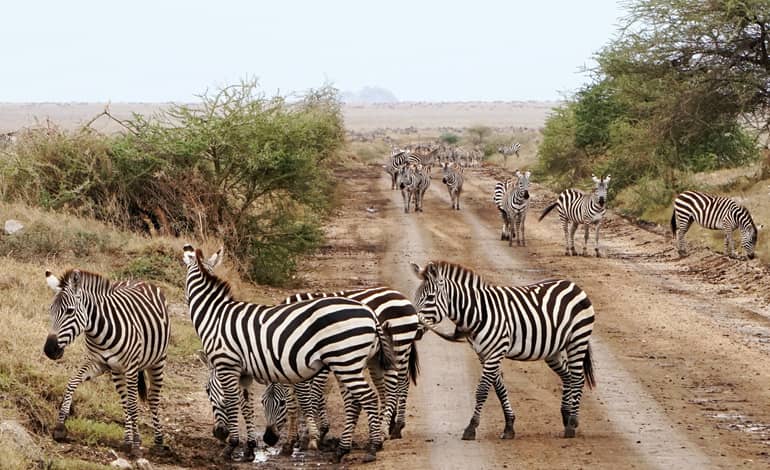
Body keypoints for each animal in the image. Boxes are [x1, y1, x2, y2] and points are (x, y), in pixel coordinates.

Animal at [42, 270, 169, 458]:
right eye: (51, 310)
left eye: (70, 311)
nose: (49, 350)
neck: (98, 331)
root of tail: (140, 280)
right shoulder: (98, 363)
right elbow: (72, 383)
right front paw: (60, 426)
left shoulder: (131, 367)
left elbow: (134, 405)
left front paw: (137, 445)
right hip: (117, 371)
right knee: (124, 399)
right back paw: (127, 440)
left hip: (158, 361)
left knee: (152, 399)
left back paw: (158, 442)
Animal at [182, 246, 392, 462]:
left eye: (207, 390)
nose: (218, 434)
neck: (215, 316)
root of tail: (370, 313)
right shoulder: (245, 373)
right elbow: (246, 406)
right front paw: (249, 449)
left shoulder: (227, 365)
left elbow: (233, 403)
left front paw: (230, 447)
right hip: (351, 363)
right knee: (358, 401)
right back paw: (345, 449)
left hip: (347, 361)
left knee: (369, 398)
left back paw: (372, 447)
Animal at [408, 262, 592, 442]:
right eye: (415, 296)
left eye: (430, 298)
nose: (414, 329)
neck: (478, 312)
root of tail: (573, 285)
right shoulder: (484, 354)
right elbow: (499, 388)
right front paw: (509, 426)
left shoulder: (496, 351)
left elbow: (482, 390)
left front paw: (471, 427)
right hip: (553, 351)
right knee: (567, 376)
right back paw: (566, 417)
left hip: (578, 339)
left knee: (578, 378)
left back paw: (571, 424)